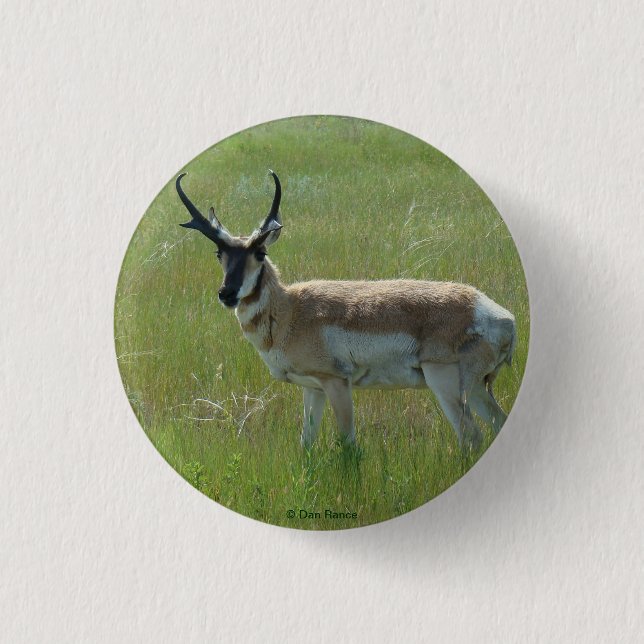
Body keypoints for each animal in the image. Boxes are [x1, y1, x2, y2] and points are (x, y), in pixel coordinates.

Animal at [176, 171, 516, 450]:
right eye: (219, 252)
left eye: (260, 252)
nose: (227, 294)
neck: (290, 310)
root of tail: (502, 317)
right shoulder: (312, 388)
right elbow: (306, 444)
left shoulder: (336, 383)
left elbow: (348, 445)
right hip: (476, 389)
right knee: (496, 424)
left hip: (444, 382)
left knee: (470, 436)